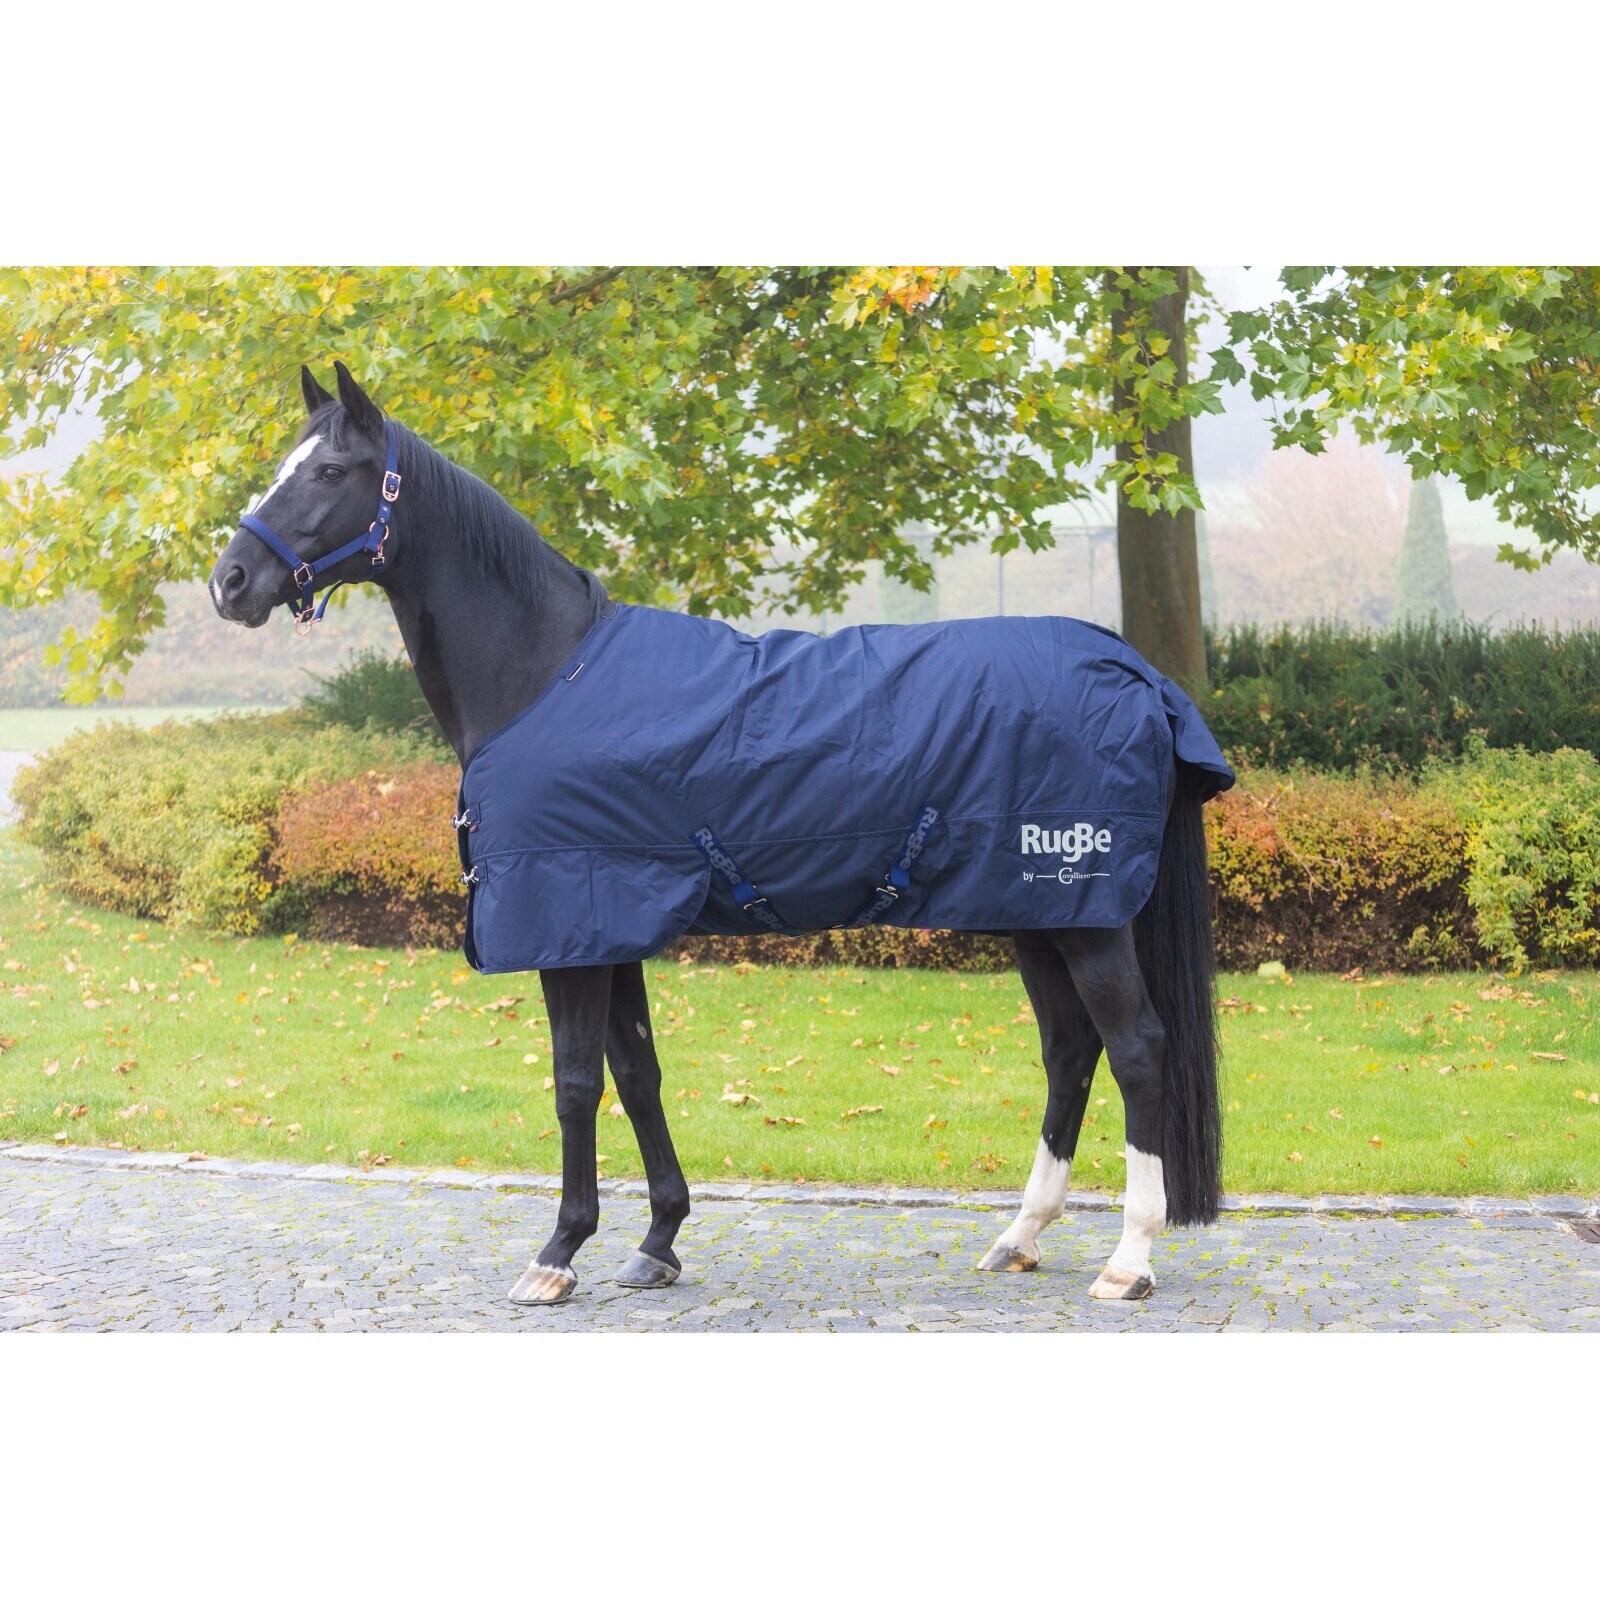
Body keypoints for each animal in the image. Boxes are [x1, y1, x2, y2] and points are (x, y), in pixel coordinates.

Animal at [209, 362, 1231, 1307]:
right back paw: (1020, 1235)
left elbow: (575, 1081)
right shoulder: (607, 924)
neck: (545, 673)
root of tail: (1137, 672)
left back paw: (1128, 1260)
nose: (230, 582)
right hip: (1038, 912)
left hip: (1087, 913)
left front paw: (558, 1253)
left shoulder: (569, 922)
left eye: (330, 470)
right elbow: (638, 1072)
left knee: (1137, 1048)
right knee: (1069, 1050)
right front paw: (657, 1240)